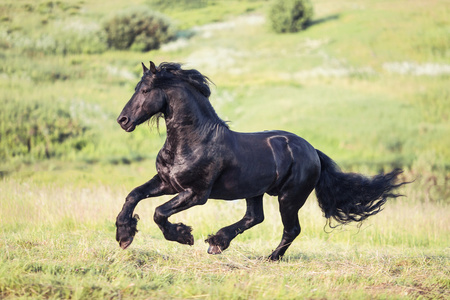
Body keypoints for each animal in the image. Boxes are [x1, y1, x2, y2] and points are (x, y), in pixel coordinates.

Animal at [115, 61, 404, 260]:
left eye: (145, 90)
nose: (123, 120)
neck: (194, 140)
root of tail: (312, 150)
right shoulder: (167, 182)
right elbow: (133, 195)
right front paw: (124, 235)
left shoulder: (196, 193)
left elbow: (159, 212)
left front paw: (184, 236)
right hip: (254, 191)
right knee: (254, 217)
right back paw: (217, 242)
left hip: (289, 197)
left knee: (291, 229)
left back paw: (270, 257)